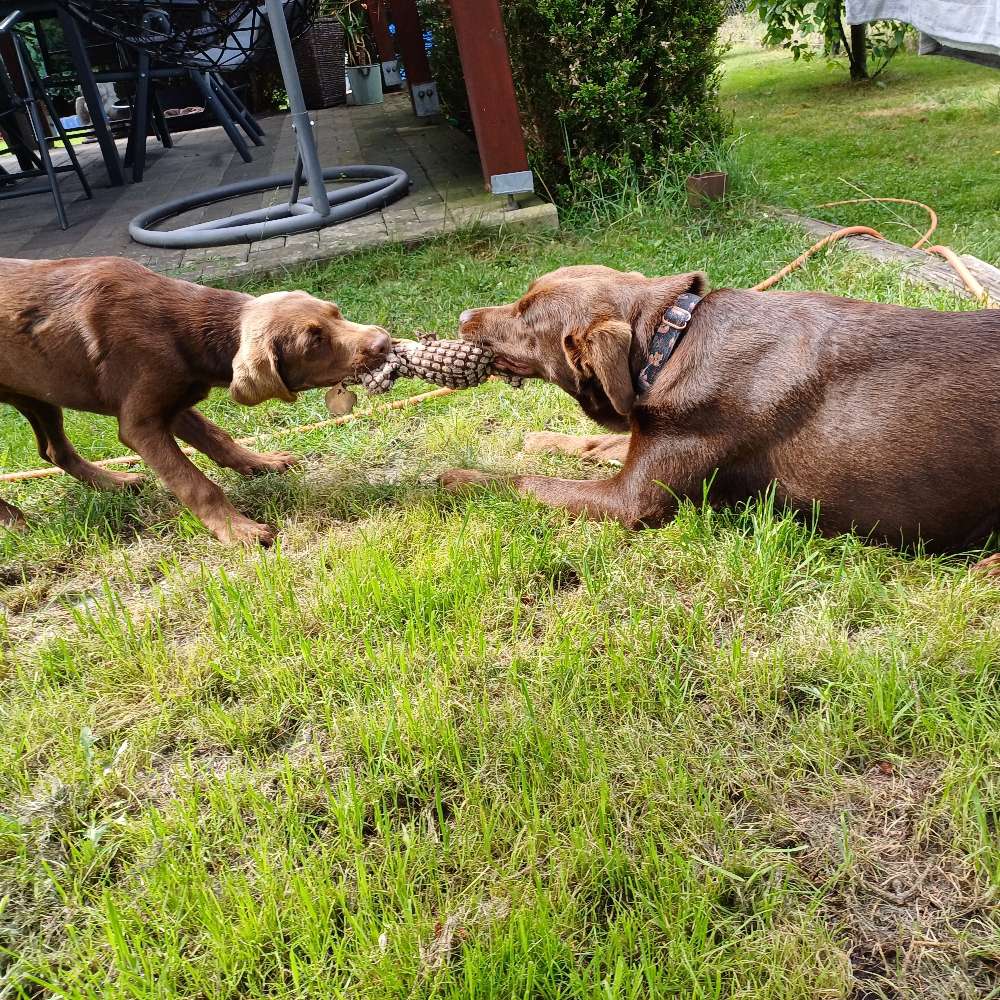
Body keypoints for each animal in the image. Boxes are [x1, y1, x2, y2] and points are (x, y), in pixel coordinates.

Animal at [0, 254, 390, 544]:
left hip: (39, 392)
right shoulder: (141, 423)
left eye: (336, 312)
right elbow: (196, 484)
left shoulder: (174, 400)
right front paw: (238, 530)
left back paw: (115, 483)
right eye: (314, 341)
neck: (180, 324)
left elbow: (218, 437)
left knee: (53, 451)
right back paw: (14, 521)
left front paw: (261, 462)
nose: (383, 341)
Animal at [446, 266, 1000, 576]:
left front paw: (458, 478)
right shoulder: (647, 433)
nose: (463, 316)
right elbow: (590, 444)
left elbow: (525, 482)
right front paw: (539, 437)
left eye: (526, 313)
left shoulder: (632, 500)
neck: (671, 341)